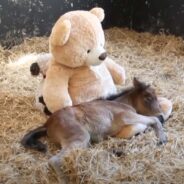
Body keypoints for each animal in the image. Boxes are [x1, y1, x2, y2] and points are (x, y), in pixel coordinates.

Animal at [21, 77, 167, 183]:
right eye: (148, 97)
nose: (162, 116)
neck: (122, 103)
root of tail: (47, 123)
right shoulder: (126, 116)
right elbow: (152, 120)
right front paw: (162, 138)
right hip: (80, 136)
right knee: (54, 160)